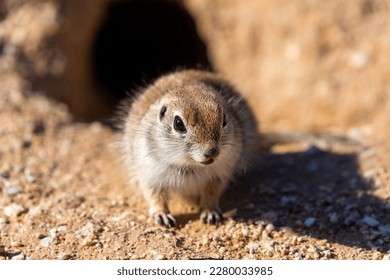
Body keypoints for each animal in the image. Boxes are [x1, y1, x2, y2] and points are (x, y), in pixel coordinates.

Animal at [119, 70, 258, 228]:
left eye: (224, 119)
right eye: (178, 123)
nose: (212, 152)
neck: (189, 165)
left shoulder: (220, 174)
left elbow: (212, 194)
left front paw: (211, 213)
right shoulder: (150, 174)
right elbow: (155, 196)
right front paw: (162, 216)